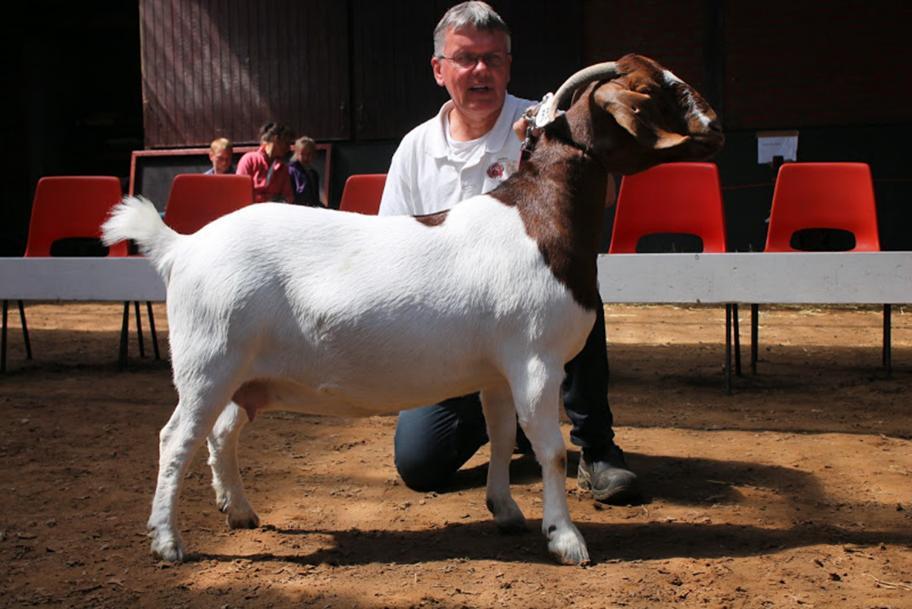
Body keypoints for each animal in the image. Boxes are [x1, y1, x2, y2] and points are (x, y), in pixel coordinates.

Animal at [103, 54, 724, 564]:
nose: (716, 126)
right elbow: (549, 450)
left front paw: (506, 512)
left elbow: (503, 436)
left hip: (249, 375)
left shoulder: (498, 371)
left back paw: (239, 511)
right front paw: (566, 539)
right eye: (656, 89)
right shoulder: (536, 359)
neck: (539, 216)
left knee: (221, 433)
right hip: (208, 362)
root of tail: (181, 247)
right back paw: (168, 543)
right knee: (177, 438)